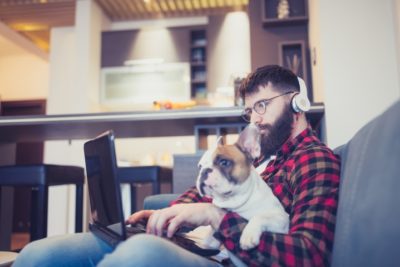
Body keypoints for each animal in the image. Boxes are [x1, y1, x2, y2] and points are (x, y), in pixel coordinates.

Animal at [196, 124, 288, 252]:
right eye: (200, 166)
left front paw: (248, 235)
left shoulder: (282, 218)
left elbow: (259, 216)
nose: (204, 171)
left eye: (224, 162)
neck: (236, 202)